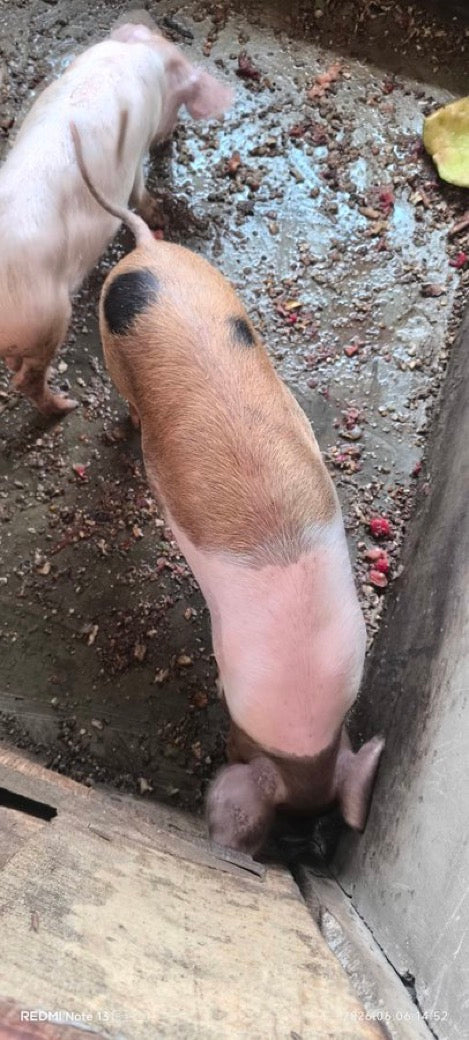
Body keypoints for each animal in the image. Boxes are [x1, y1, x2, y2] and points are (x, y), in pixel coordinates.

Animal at [0, 22, 232, 417]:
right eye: (179, 102)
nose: (172, 135)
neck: (141, 53)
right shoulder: (135, 152)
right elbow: (137, 190)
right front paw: (158, 212)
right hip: (47, 318)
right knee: (27, 379)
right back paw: (66, 405)